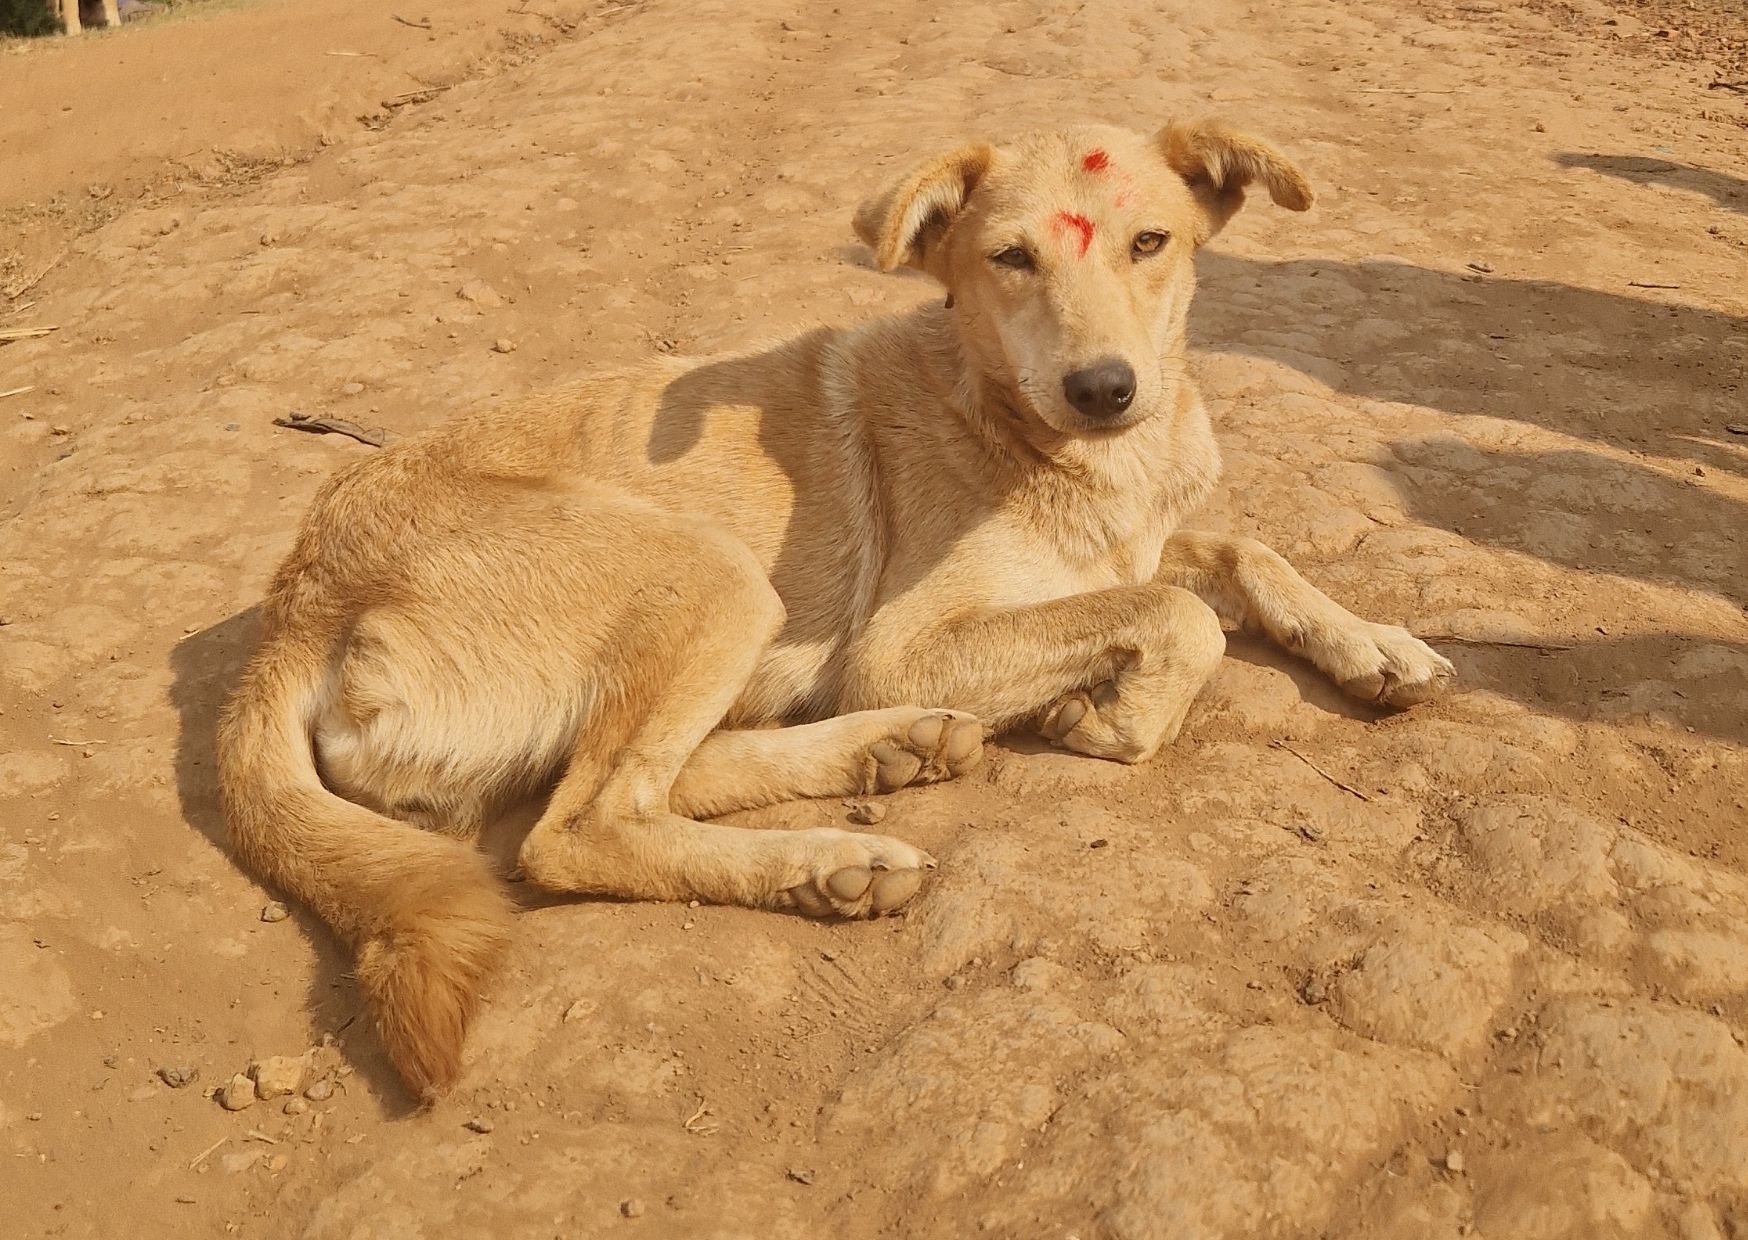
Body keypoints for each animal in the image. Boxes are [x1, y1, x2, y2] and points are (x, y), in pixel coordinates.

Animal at [215, 120, 1447, 1098]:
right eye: (1010, 257)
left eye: (1151, 244)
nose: (1105, 389)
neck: (1052, 442)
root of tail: (298, 596)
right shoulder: (904, 645)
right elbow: (1178, 619)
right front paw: (1114, 715)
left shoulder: (1140, 542)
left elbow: (1242, 552)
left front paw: (1373, 645)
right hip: (712, 574)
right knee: (576, 829)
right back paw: (822, 858)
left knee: (657, 776)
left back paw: (887, 758)